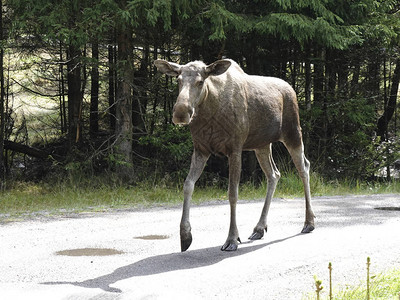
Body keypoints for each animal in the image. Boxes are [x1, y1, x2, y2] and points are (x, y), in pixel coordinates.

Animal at [155, 58, 314, 251]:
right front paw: (185, 235)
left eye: (200, 81)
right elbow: (188, 185)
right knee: (274, 174)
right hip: (262, 145)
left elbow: (232, 193)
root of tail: (291, 89)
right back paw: (259, 228)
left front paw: (231, 238)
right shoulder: (200, 149)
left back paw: (309, 222)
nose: (180, 113)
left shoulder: (235, 149)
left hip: (293, 134)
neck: (209, 110)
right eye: (178, 80)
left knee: (304, 167)